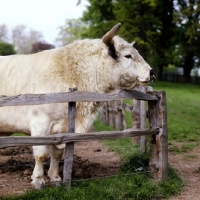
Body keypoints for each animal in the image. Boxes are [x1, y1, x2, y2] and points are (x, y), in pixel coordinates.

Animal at [0, 23, 155, 188]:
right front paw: (38, 180)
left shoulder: (62, 129)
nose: (152, 72)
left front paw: (55, 177)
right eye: (128, 56)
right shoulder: (40, 122)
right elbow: (41, 154)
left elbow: (57, 154)